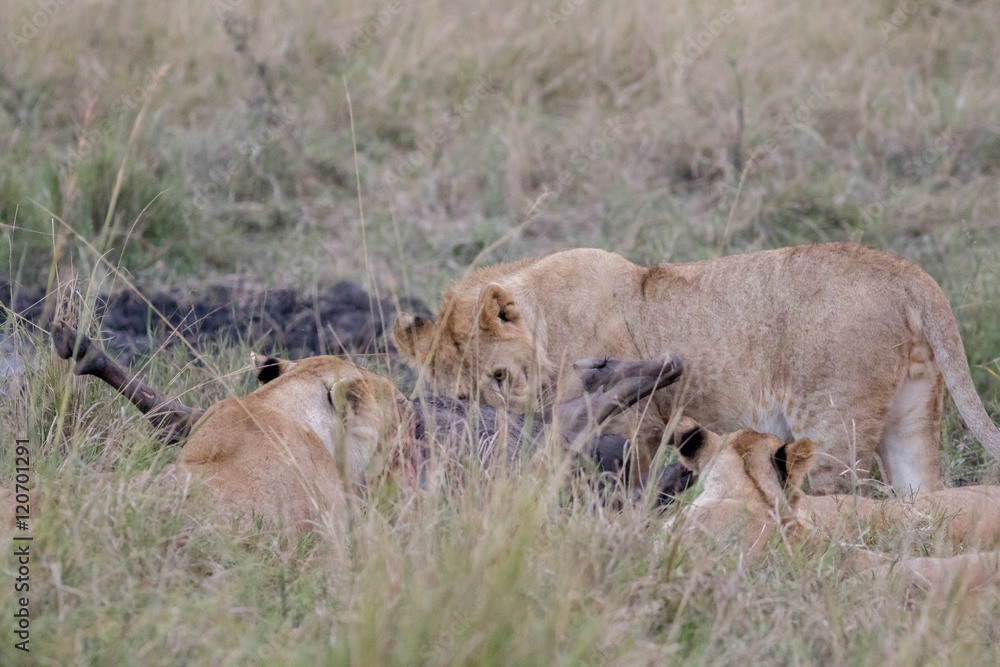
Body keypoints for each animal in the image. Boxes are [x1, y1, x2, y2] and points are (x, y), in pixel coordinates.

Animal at [393, 243, 1000, 494]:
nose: (493, 431)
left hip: (831, 425)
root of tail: (907, 273)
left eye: (498, 377)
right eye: (454, 395)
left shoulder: (634, 427)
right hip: (911, 416)